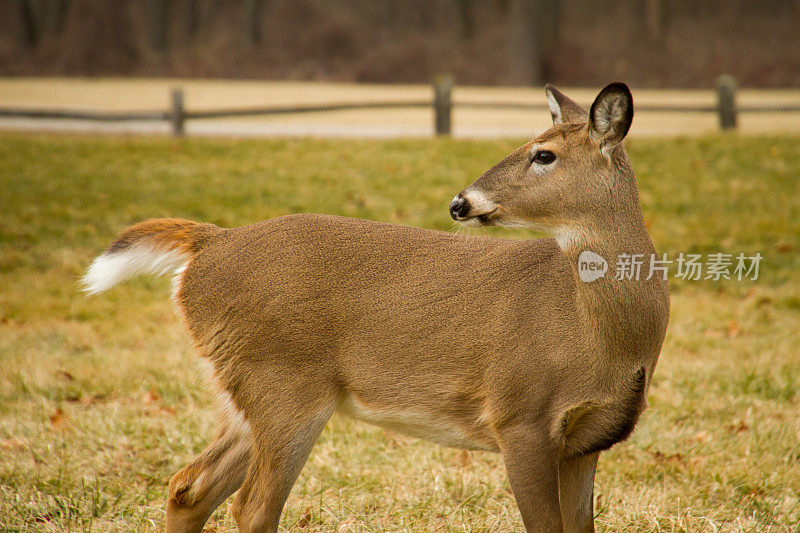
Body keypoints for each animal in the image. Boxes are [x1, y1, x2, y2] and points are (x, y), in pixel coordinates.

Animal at [83, 84, 668, 532]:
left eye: (543, 154)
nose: (460, 202)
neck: (599, 338)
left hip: (243, 390)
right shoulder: (518, 414)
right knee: (251, 507)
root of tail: (207, 244)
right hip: (283, 382)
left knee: (189, 486)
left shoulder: (587, 442)